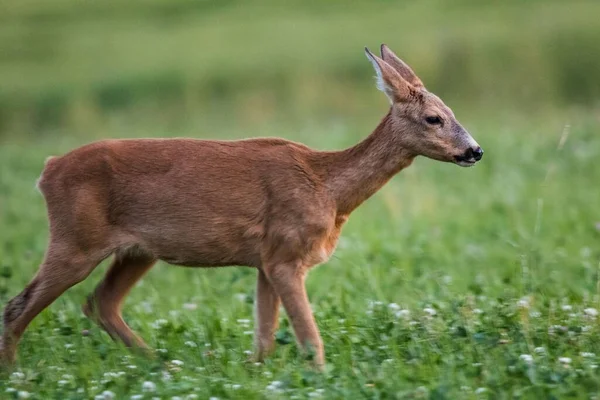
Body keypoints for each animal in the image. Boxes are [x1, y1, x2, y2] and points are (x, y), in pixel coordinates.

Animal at [0, 44, 482, 368]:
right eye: (434, 118)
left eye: (453, 111)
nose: (475, 151)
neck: (328, 188)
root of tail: (48, 170)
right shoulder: (286, 253)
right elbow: (309, 338)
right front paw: (321, 375)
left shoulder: (266, 260)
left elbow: (264, 339)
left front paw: (258, 373)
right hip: (75, 239)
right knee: (19, 305)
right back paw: (18, 373)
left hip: (138, 250)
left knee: (100, 302)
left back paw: (160, 363)